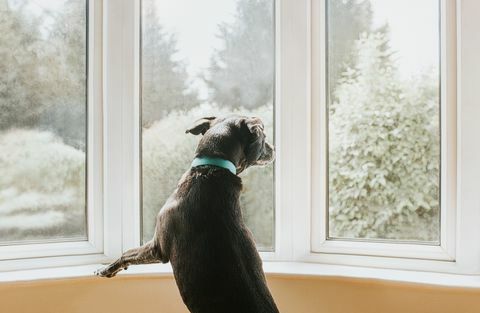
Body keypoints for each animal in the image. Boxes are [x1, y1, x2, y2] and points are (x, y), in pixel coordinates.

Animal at [96, 114, 278, 312]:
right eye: (265, 137)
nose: (274, 149)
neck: (211, 169)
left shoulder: (157, 248)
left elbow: (126, 253)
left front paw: (106, 269)